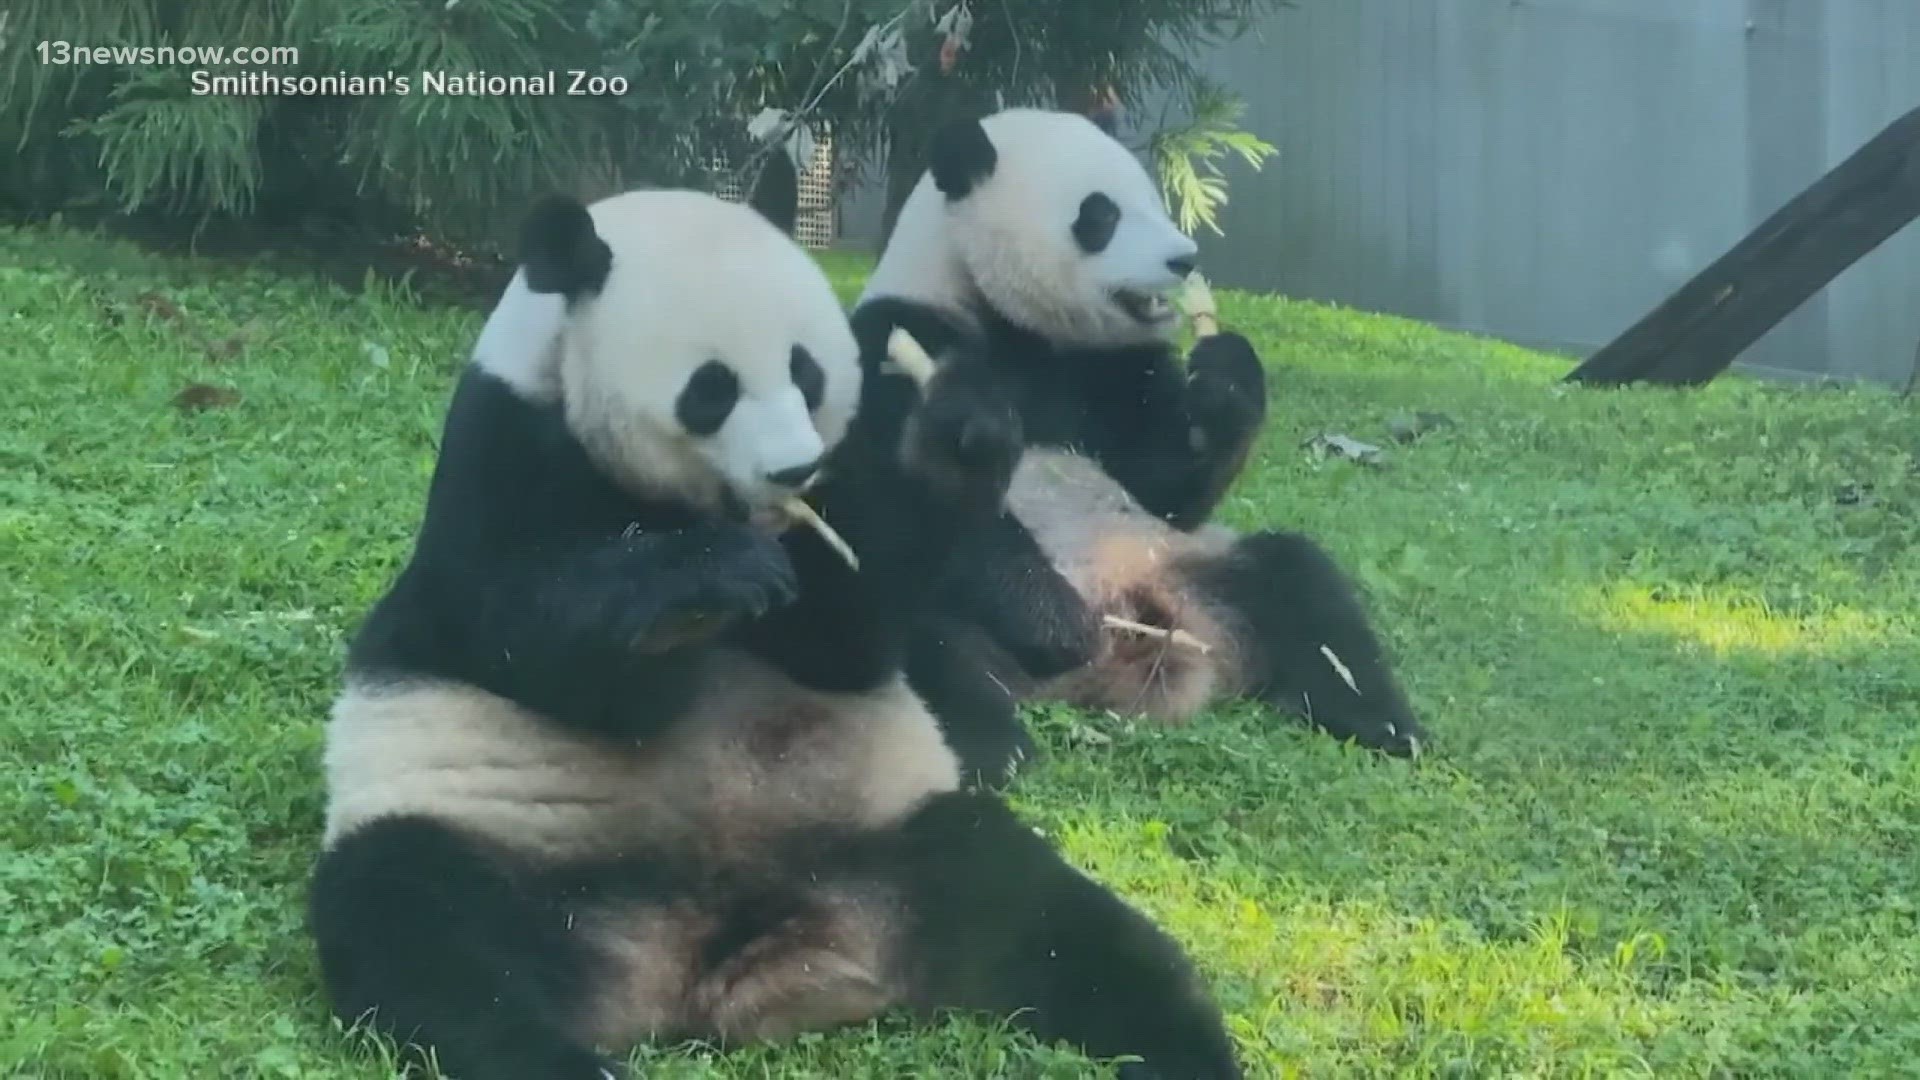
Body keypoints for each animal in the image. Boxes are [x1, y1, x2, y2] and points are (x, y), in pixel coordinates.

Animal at [307, 187, 1236, 1076]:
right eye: (711, 388)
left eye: (807, 371)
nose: (794, 468)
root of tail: (723, 956)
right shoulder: (500, 459)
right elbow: (536, 642)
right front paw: (709, 577)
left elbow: (843, 636)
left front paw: (958, 437)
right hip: (500, 845)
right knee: (430, 942)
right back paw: (565, 1060)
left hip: (899, 841)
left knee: (1055, 923)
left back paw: (1189, 1051)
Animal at [856, 109, 1428, 760]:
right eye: (1100, 215)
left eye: (1155, 200)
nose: (1185, 259)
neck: (1013, 325)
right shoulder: (893, 341)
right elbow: (904, 493)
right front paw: (1052, 616)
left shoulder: (1112, 370)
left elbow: (1166, 487)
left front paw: (1223, 382)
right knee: (919, 626)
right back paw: (994, 747)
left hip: (1193, 567)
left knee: (1302, 585)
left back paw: (1383, 724)